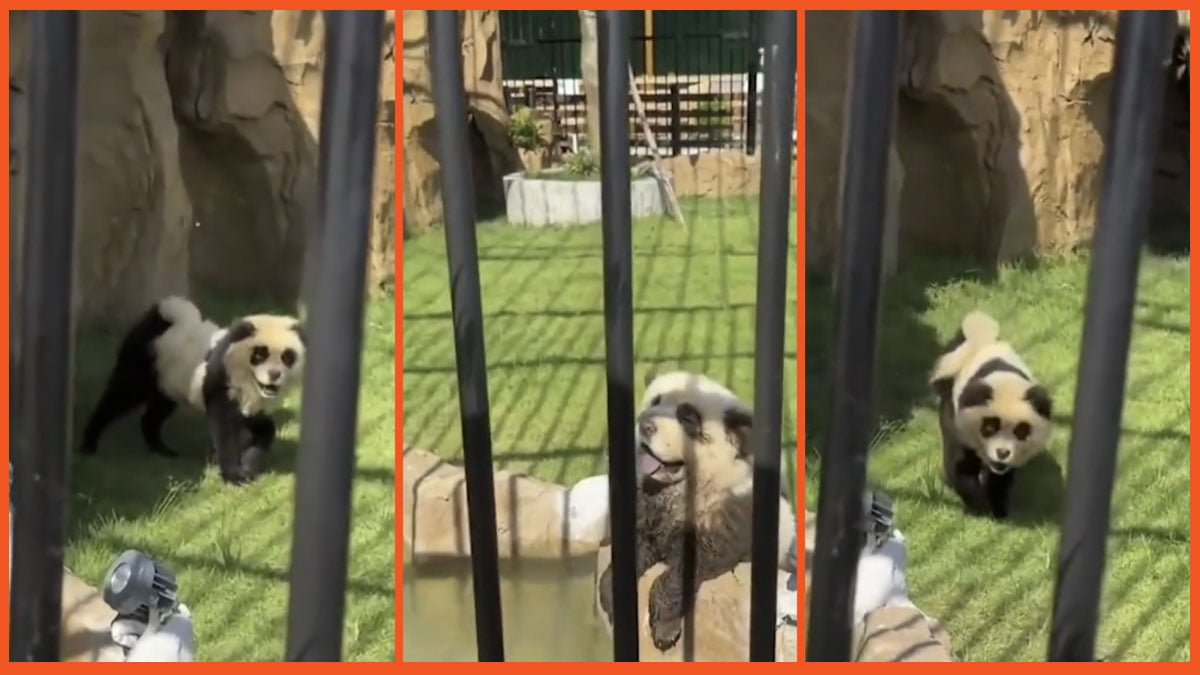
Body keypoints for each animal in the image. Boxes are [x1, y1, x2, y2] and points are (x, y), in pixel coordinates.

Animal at [79, 295, 304, 482]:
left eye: (287, 357)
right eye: (260, 355)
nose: (274, 375)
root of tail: (162, 314)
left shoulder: (253, 402)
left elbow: (263, 427)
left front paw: (249, 466)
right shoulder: (221, 381)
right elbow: (225, 429)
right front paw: (234, 475)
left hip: (169, 380)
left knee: (155, 412)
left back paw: (161, 449)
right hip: (143, 360)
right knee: (120, 395)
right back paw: (89, 445)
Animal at [926, 307, 1051, 516]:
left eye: (1020, 430)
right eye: (990, 426)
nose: (1002, 452)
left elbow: (1000, 479)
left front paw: (998, 508)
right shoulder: (959, 422)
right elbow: (960, 467)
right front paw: (978, 507)